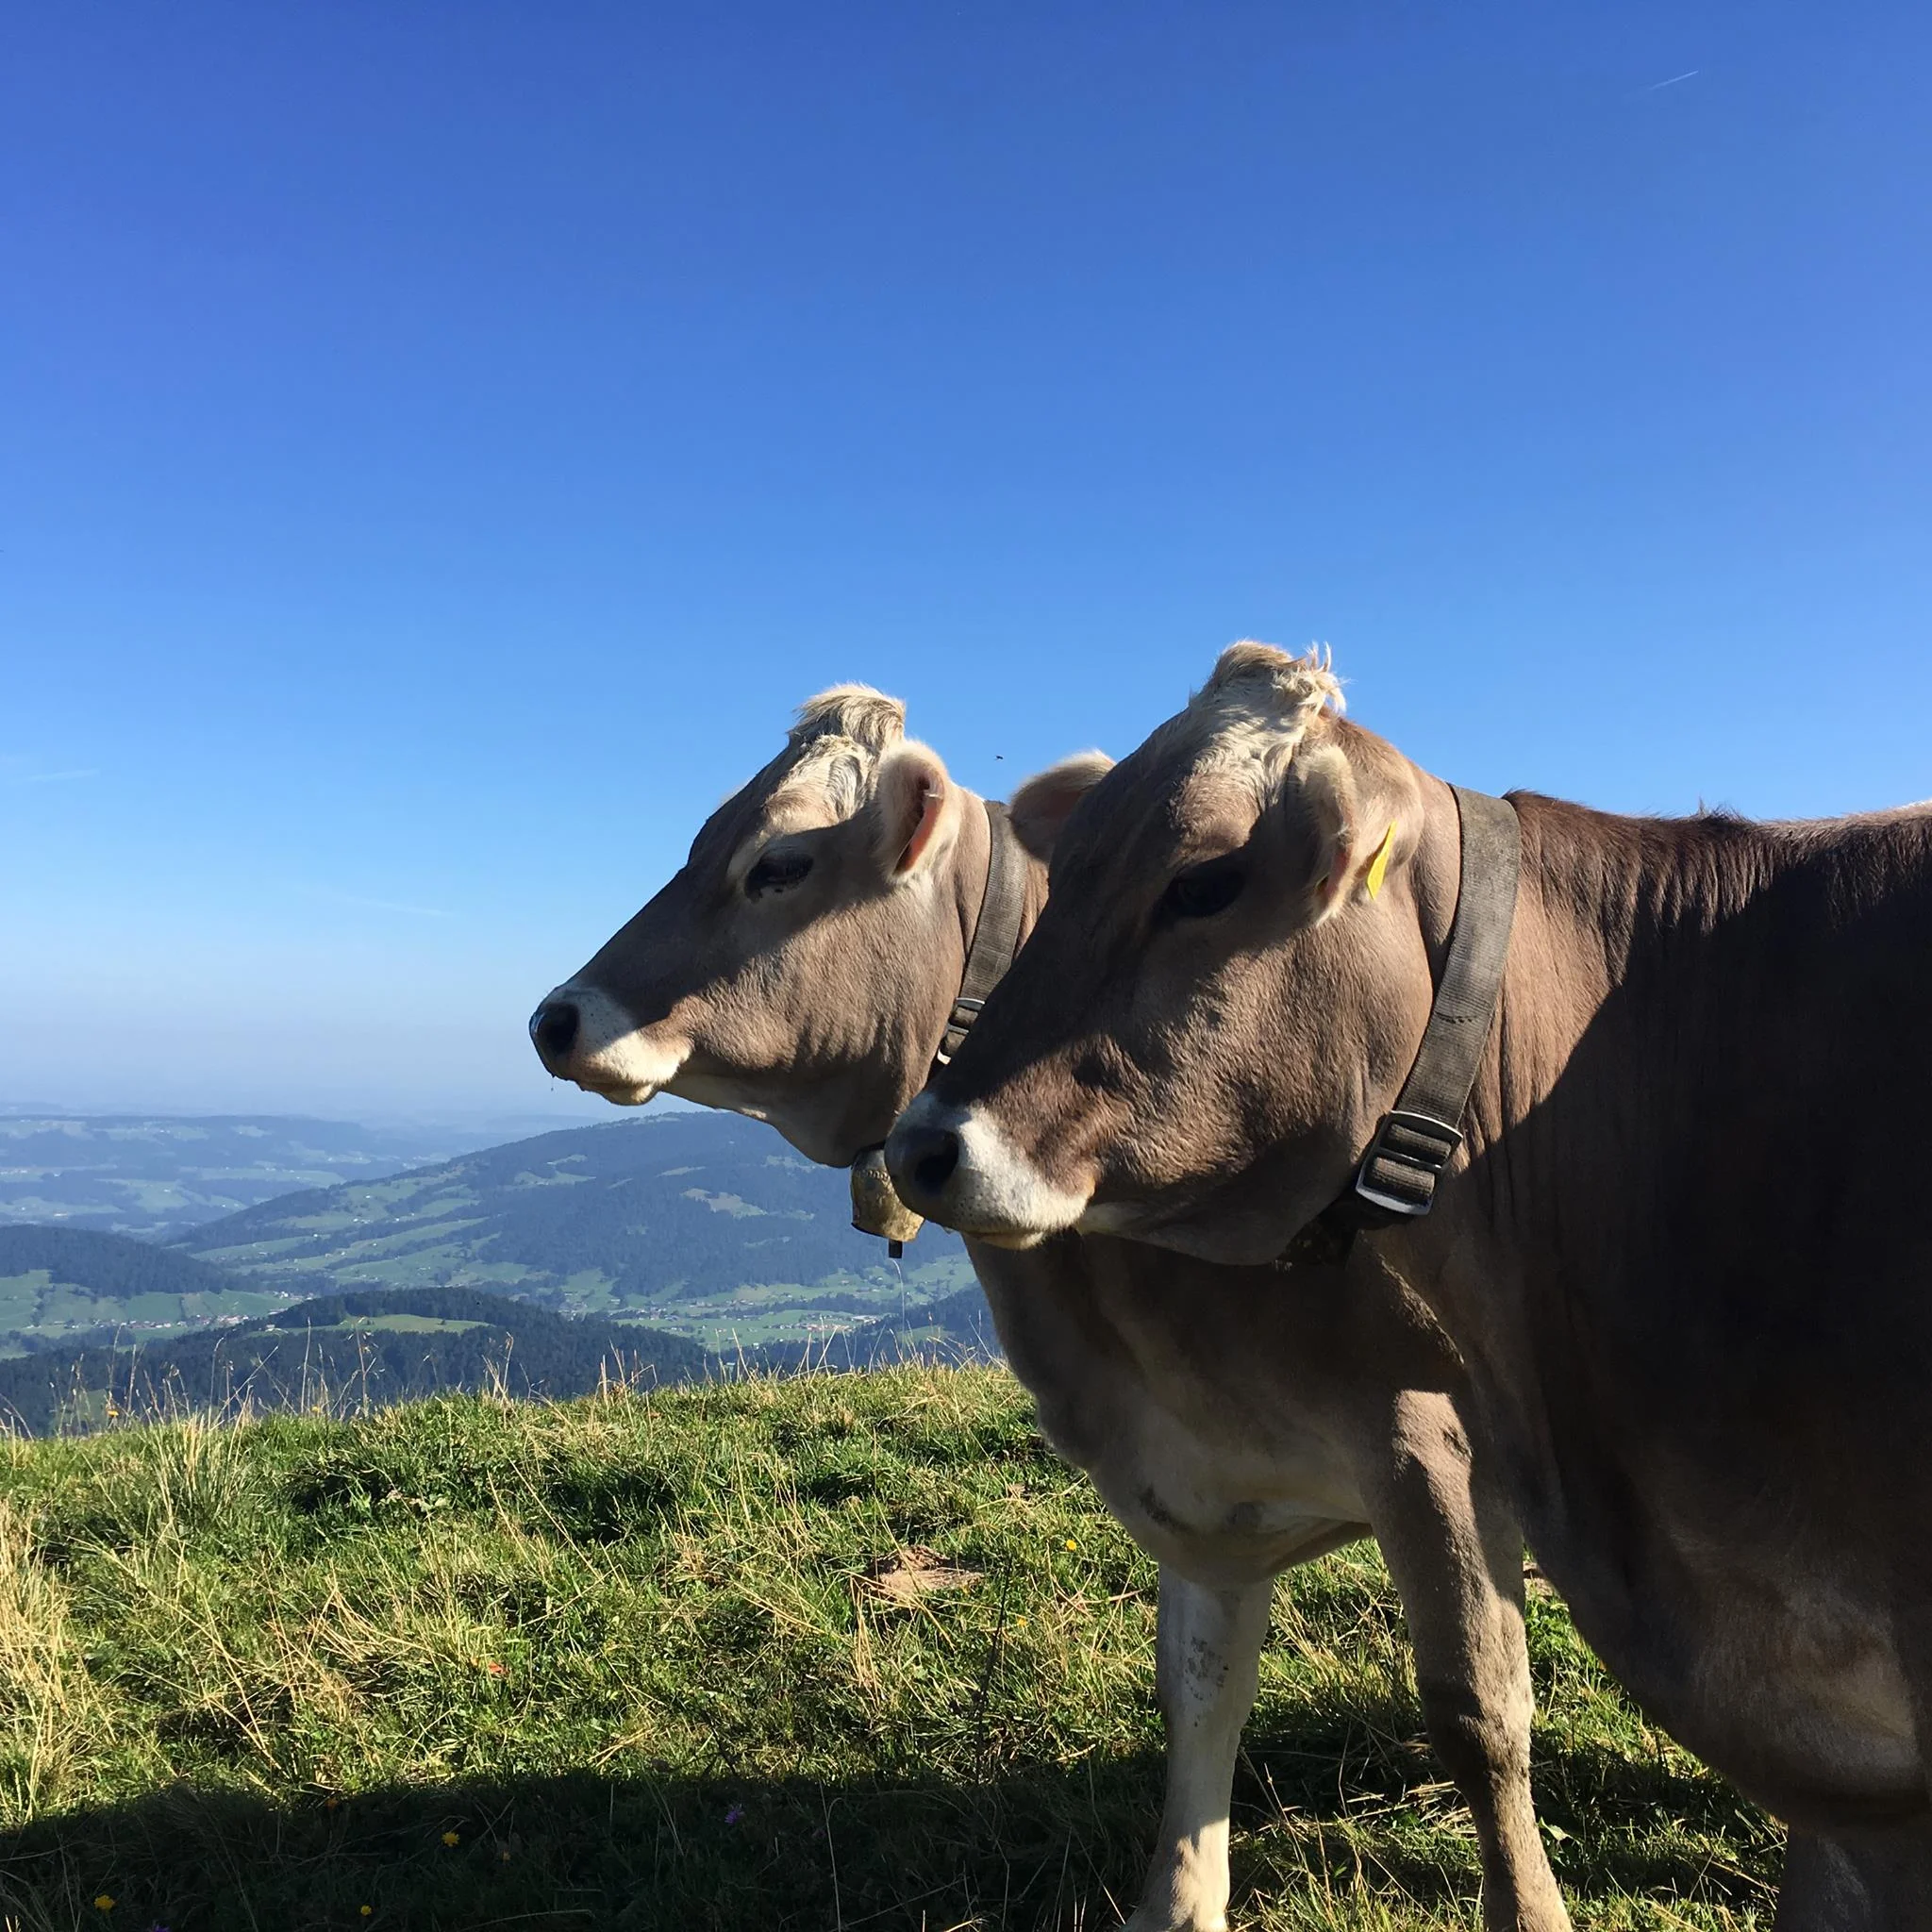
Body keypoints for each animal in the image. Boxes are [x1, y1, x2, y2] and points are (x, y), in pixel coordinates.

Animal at [529, 685, 1570, 1932]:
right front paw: (1176, 1900)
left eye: (778, 862)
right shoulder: (1200, 1470)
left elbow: (1477, 1714)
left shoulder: (1431, 1441)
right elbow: (1198, 1687)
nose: (556, 1018)